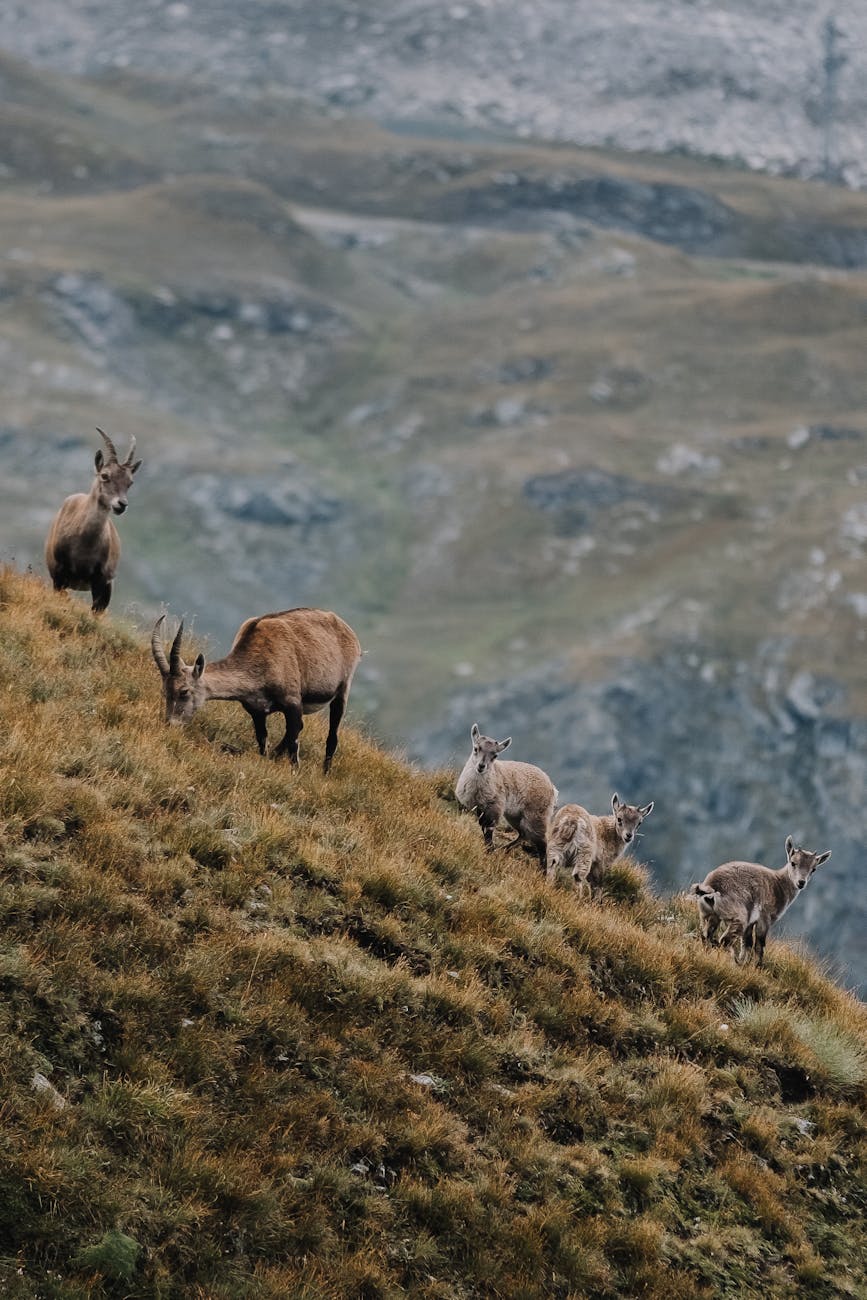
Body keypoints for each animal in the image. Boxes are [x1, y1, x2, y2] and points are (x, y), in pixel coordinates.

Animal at [45, 428, 141, 614]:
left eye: (130, 482)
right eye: (105, 475)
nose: (121, 504)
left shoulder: (101, 580)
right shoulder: (59, 573)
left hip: (108, 586)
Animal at [151, 607, 362, 773]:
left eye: (184, 691)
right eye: (164, 692)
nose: (170, 724)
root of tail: (349, 632)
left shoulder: (293, 701)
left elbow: (294, 739)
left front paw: (295, 771)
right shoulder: (256, 711)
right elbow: (263, 738)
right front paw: (266, 758)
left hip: (343, 688)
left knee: (331, 735)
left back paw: (325, 772)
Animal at [455, 723, 557, 870]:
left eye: (495, 755)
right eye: (476, 748)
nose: (481, 766)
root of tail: (552, 788)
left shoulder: (494, 808)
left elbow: (489, 831)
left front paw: (489, 851)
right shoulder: (480, 808)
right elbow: (483, 827)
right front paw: (491, 850)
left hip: (536, 816)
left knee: (542, 843)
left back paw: (542, 871)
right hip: (515, 816)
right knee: (523, 834)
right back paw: (504, 849)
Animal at [691, 835, 831, 968]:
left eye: (813, 869)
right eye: (793, 863)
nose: (801, 883)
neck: (779, 884)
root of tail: (712, 886)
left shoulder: (750, 922)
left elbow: (747, 944)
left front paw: (744, 963)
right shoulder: (764, 919)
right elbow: (759, 945)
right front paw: (757, 966)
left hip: (711, 915)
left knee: (706, 935)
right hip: (739, 917)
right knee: (725, 940)